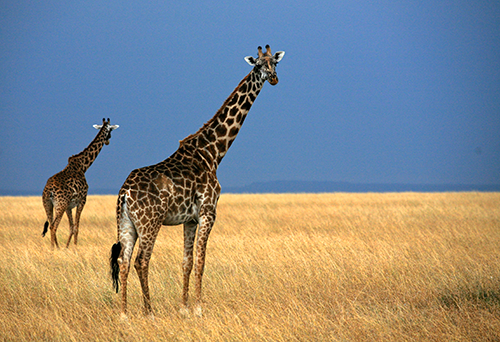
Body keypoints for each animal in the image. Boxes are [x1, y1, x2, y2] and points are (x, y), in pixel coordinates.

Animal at [41, 118, 118, 248]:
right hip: (60, 205)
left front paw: (67, 247)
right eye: (111, 130)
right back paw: (54, 248)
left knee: (50, 224)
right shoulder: (82, 200)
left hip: (48, 204)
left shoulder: (69, 206)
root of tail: (49, 190)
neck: (83, 166)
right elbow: (76, 227)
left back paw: (55, 247)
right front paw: (75, 247)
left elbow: (71, 227)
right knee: (54, 226)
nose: (108, 140)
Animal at [112, 45, 288, 318]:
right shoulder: (208, 212)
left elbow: (186, 261)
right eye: (258, 65)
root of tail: (124, 194)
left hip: (126, 224)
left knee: (124, 261)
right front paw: (198, 309)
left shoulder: (190, 219)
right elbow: (202, 261)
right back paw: (149, 312)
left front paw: (184, 308)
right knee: (142, 261)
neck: (213, 152)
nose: (273, 78)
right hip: (150, 222)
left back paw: (124, 315)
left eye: (275, 63)